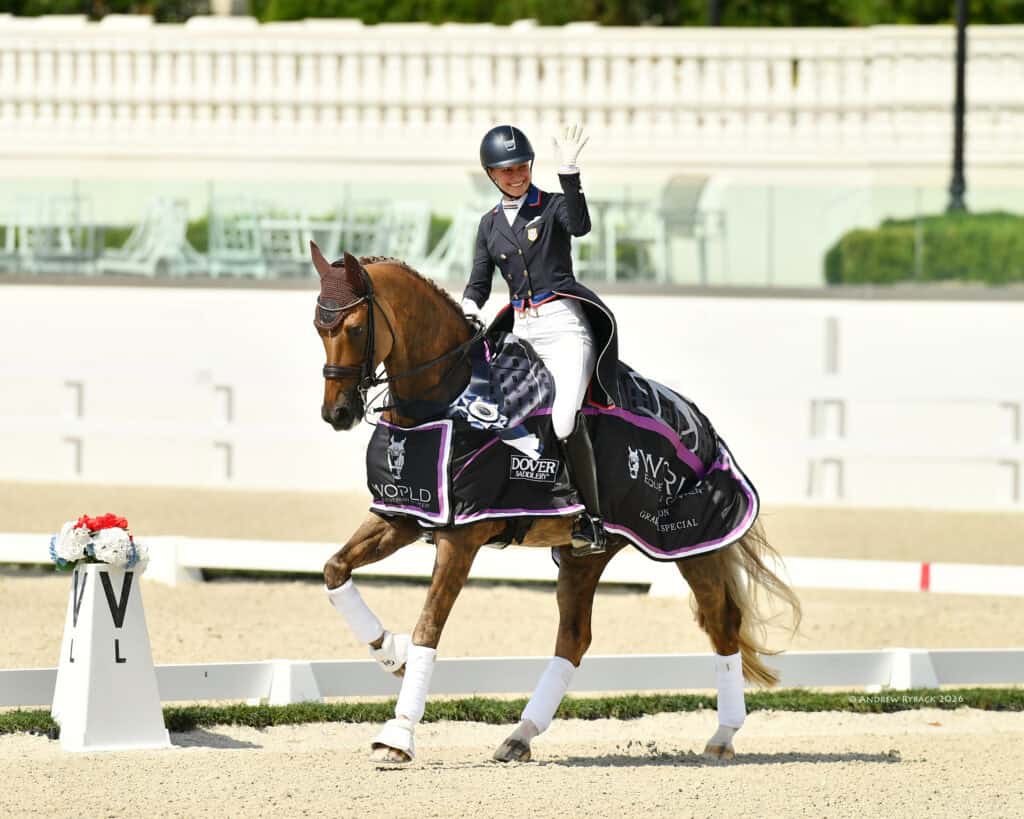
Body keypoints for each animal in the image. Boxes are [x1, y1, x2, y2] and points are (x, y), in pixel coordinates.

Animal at [312, 244, 801, 764]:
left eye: (354, 328)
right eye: (319, 327)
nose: (337, 413)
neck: (446, 400)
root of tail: (700, 423)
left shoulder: (462, 538)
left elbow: (429, 627)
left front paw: (398, 736)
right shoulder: (403, 515)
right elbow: (335, 570)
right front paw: (391, 652)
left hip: (690, 543)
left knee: (721, 623)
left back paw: (723, 736)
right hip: (584, 555)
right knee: (574, 638)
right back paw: (519, 735)